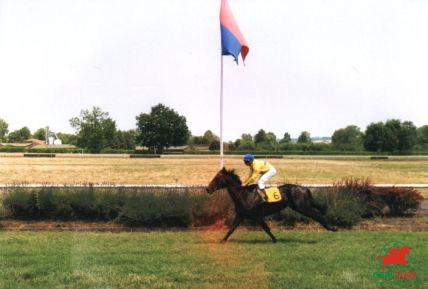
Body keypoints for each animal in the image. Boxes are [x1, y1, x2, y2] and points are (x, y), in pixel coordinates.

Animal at [207, 168, 338, 242]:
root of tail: (305, 188)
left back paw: (332, 228)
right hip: (300, 206)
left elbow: (266, 228)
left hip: (302, 207)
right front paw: (222, 241)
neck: (244, 195)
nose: (208, 189)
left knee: (317, 215)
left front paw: (275, 240)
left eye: (217, 178)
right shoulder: (240, 215)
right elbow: (231, 229)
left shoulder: (257, 216)